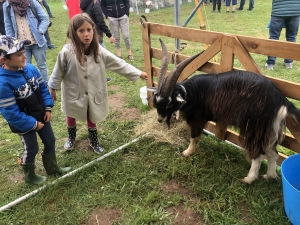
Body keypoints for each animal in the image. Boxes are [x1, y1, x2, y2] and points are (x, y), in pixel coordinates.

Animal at [151, 39, 300, 185]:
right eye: (156, 101)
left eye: (169, 103)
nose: (159, 119)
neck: (191, 93)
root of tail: (280, 99)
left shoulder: (198, 118)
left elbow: (193, 136)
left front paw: (187, 152)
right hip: (268, 128)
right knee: (272, 152)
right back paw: (269, 176)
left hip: (254, 127)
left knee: (259, 154)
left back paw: (249, 178)